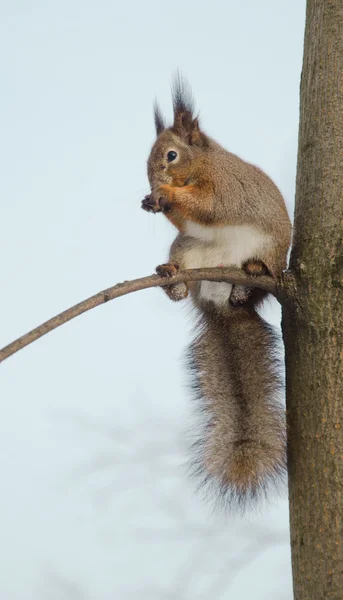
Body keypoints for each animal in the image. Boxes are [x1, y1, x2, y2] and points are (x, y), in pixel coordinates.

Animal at [141, 77, 292, 510]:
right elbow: (187, 216)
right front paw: (153, 200)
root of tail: (219, 302)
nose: (152, 184)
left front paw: (167, 195)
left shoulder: (225, 188)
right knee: (183, 278)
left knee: (252, 282)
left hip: (268, 255)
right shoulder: (185, 226)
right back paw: (172, 279)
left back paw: (247, 282)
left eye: (171, 155)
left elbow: (208, 205)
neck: (201, 167)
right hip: (189, 248)